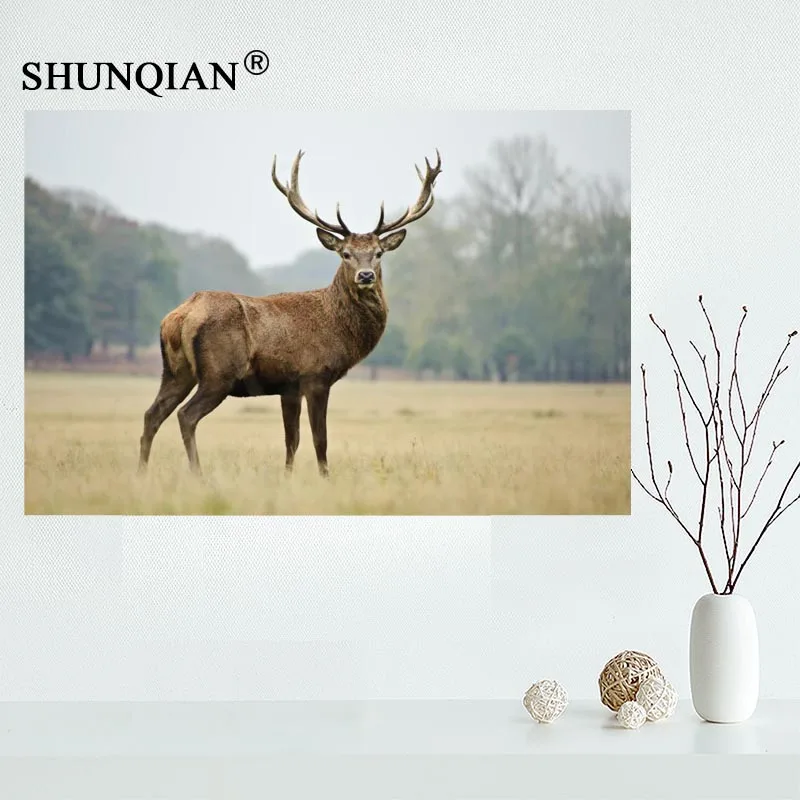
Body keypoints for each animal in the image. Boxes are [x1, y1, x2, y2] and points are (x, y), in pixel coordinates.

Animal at [138, 149, 442, 477]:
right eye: (345, 253)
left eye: (378, 253)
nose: (365, 276)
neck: (338, 328)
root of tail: (180, 316)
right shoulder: (315, 375)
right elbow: (320, 439)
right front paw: (325, 477)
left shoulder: (289, 387)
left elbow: (291, 440)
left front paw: (287, 476)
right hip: (219, 373)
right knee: (186, 416)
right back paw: (198, 474)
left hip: (175, 371)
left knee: (152, 414)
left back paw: (141, 472)